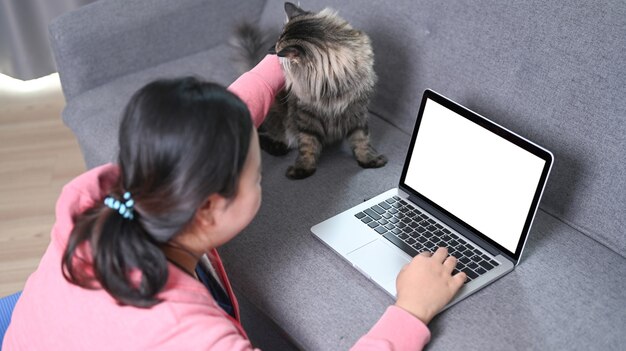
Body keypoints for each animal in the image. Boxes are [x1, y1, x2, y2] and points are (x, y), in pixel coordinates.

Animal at [230, 2, 386, 179]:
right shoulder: (306, 115)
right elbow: (308, 145)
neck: (333, 87)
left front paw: (369, 160)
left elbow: (361, 140)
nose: (271, 51)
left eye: (277, 48)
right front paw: (303, 168)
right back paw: (275, 146)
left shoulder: (357, 111)